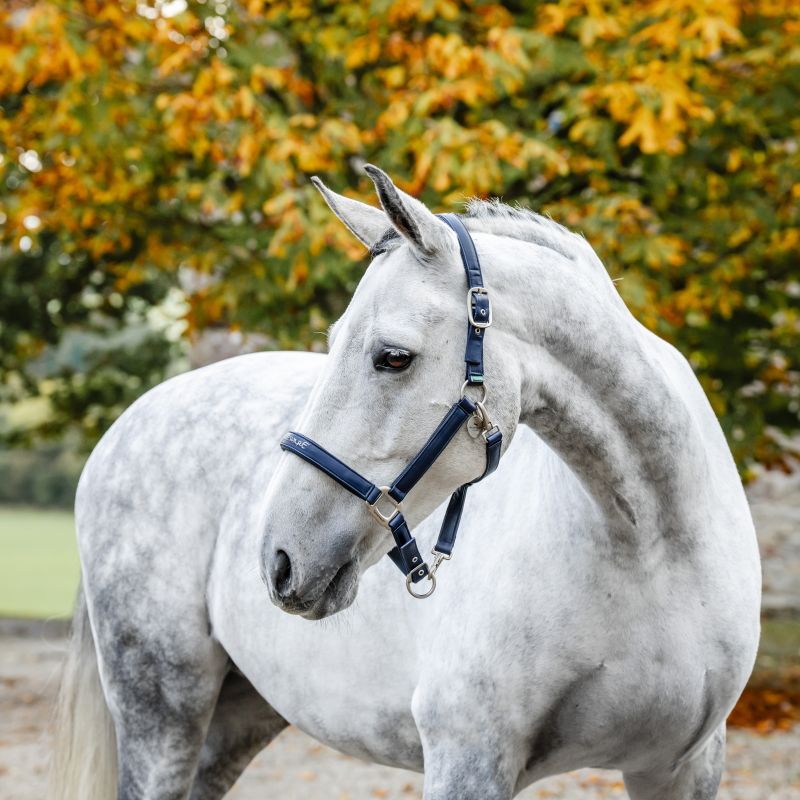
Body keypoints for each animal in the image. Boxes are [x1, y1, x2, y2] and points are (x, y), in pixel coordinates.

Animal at [51, 165, 761, 800]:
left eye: (393, 357)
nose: (280, 559)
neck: (649, 549)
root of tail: (128, 424)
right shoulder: (469, 761)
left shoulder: (681, 768)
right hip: (162, 711)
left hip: (239, 713)